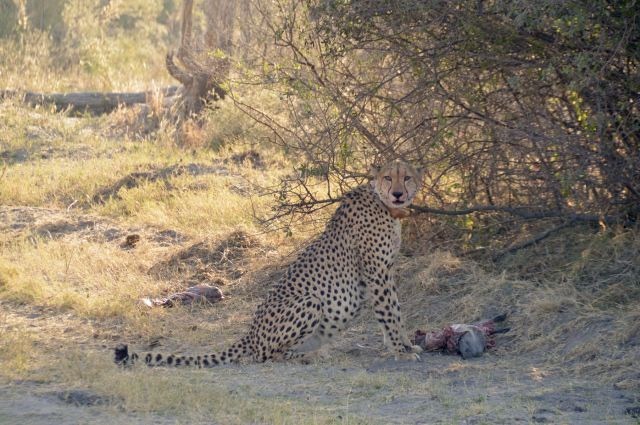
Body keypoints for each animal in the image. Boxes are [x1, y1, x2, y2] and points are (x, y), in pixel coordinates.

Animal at [115, 161, 424, 366]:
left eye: (407, 177)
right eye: (388, 178)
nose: (398, 193)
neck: (383, 204)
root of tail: (250, 333)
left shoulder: (385, 272)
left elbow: (393, 312)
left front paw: (403, 345)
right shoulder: (377, 272)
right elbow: (390, 312)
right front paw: (402, 349)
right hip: (309, 301)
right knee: (266, 355)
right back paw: (311, 354)